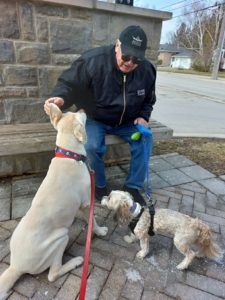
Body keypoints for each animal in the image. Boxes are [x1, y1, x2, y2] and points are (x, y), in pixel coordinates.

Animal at [0, 103, 108, 300]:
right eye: (78, 115)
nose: (82, 109)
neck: (70, 155)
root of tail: (16, 266)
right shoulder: (86, 203)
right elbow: (93, 220)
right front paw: (99, 231)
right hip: (61, 236)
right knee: (53, 274)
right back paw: (76, 261)